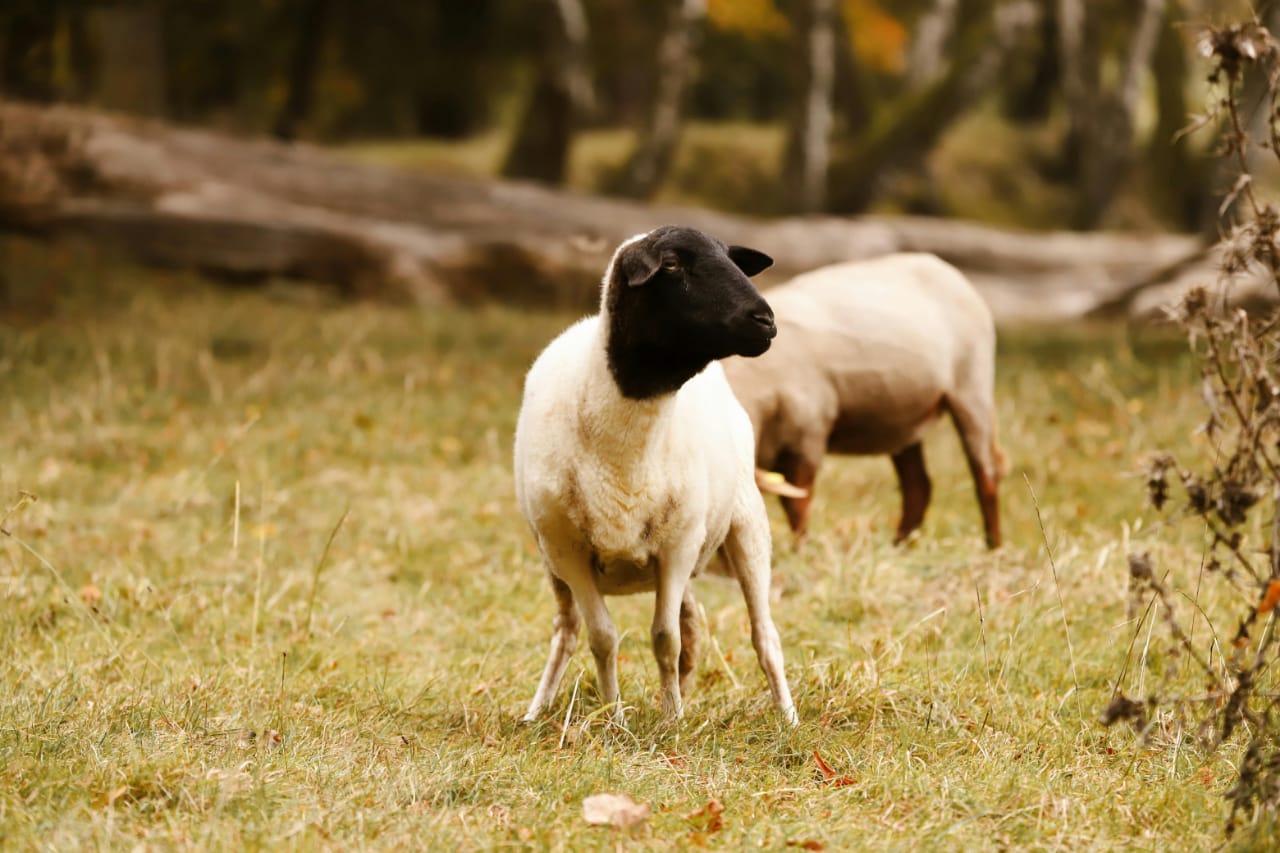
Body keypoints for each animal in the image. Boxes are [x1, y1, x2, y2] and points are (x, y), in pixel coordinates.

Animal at [513, 225, 798, 725]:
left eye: (731, 258)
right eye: (671, 264)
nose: (765, 320)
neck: (627, 451)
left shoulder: (677, 546)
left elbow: (665, 638)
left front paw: (671, 721)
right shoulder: (570, 552)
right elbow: (603, 638)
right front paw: (615, 718)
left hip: (746, 521)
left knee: (763, 634)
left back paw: (787, 717)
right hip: (554, 560)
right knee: (569, 629)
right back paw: (536, 711)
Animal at [722, 253, 1004, 548]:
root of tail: (944, 267)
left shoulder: (810, 431)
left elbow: (797, 502)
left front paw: (802, 548)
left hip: (971, 386)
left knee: (986, 473)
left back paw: (993, 546)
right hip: (902, 416)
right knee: (918, 487)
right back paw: (899, 547)